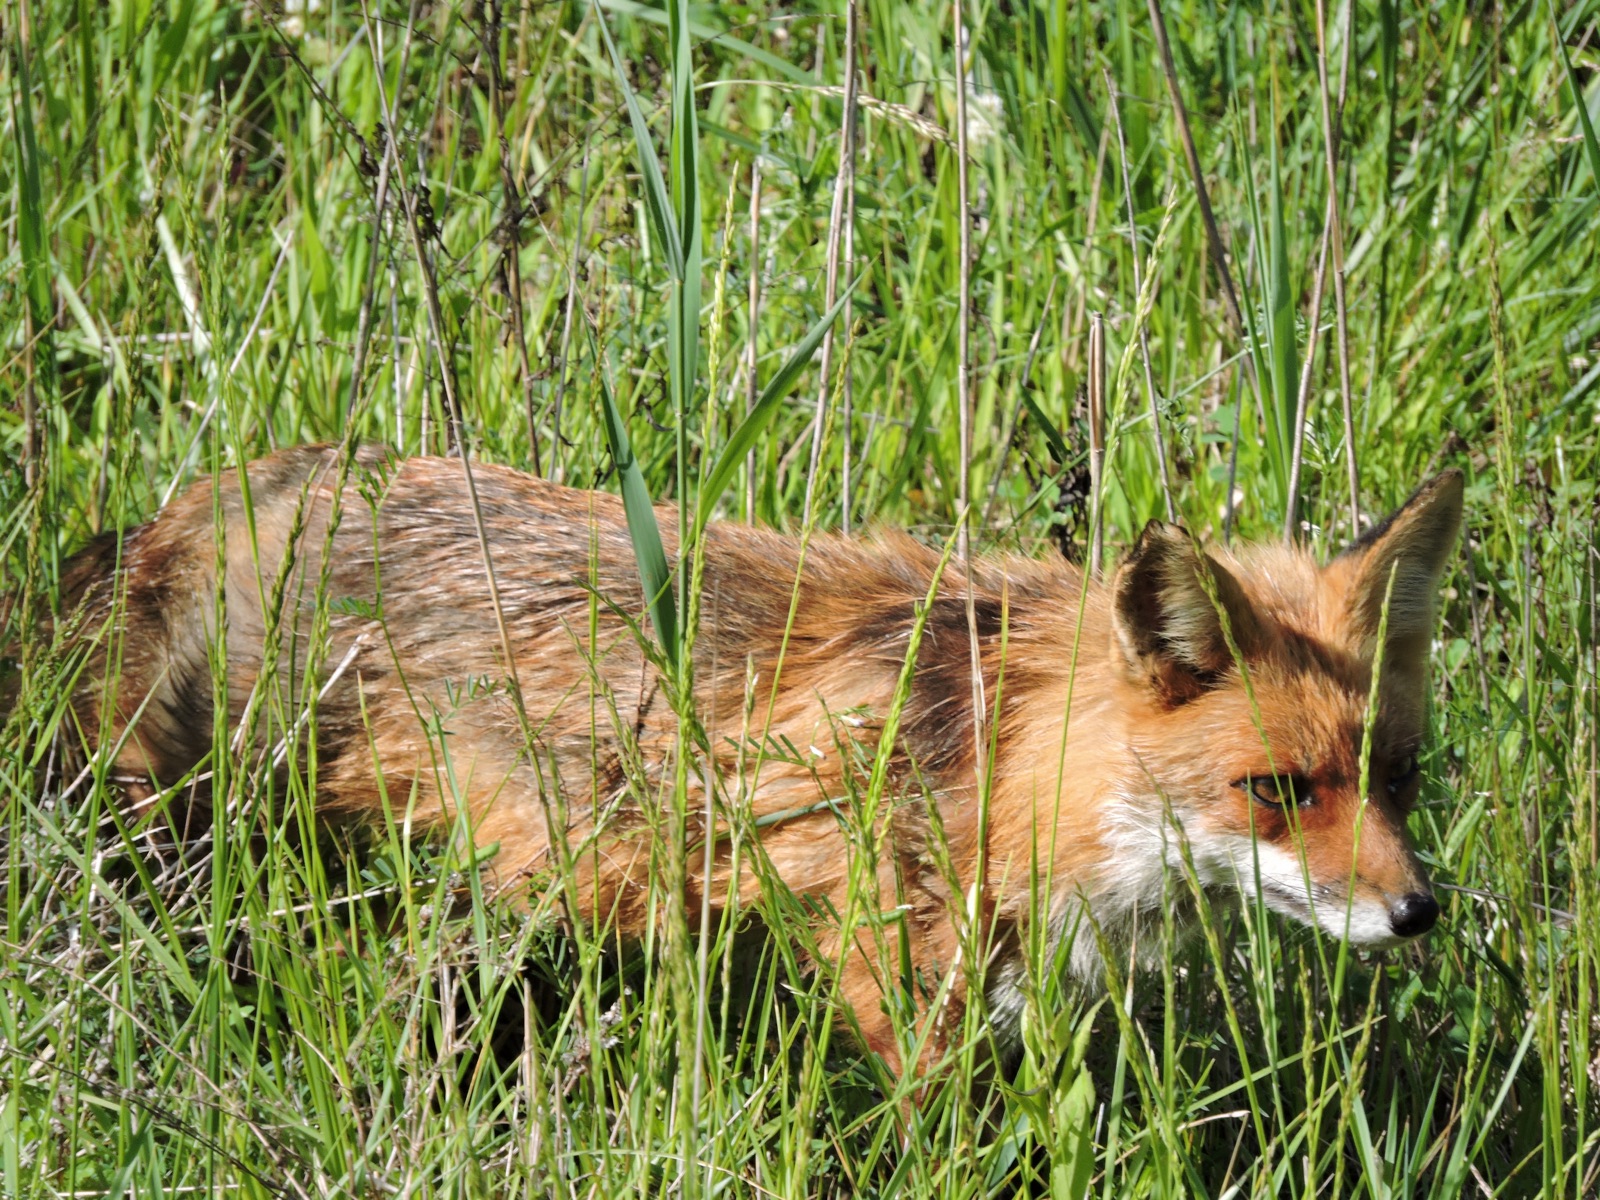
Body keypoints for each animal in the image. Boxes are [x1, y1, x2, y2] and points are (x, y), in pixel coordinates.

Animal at [31, 444, 1462, 1073]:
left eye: (1393, 776)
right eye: (1276, 792)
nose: (1417, 913)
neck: (997, 764)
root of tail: (220, 491)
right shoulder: (894, 976)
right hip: (197, 825)